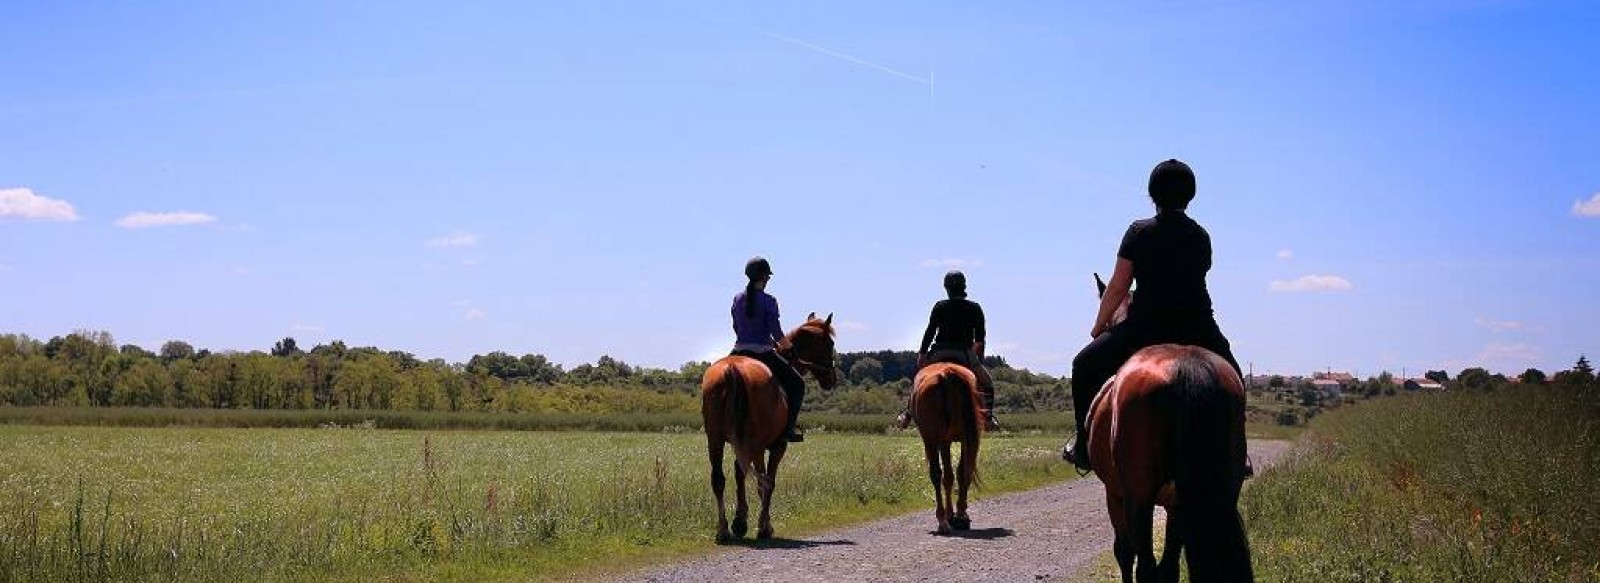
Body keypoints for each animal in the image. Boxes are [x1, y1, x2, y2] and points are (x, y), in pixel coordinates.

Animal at [707, 313, 844, 541]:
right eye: (829, 343)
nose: (832, 379)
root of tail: (732, 369)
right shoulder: (777, 446)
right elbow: (769, 482)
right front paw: (762, 525)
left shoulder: (739, 444)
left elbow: (739, 473)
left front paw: (740, 521)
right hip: (756, 445)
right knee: (764, 482)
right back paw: (759, 527)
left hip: (716, 440)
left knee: (719, 480)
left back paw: (723, 529)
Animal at [908, 361, 979, 534]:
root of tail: (947, 374)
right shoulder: (954, 441)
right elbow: (953, 475)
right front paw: (956, 514)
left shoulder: (941, 442)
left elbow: (946, 476)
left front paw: (950, 515)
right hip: (960, 439)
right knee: (961, 472)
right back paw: (955, 517)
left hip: (933, 439)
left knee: (937, 474)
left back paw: (943, 521)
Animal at [1081, 273, 1254, 583]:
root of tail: (1185, 367)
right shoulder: (1175, 503)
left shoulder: (1115, 494)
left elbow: (1124, 552)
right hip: (1218, 491)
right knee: (1168, 565)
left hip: (1139, 497)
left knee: (1146, 566)